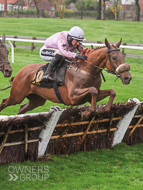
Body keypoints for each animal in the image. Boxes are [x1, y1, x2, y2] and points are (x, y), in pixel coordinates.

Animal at [0, 38, 132, 119]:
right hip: (17, 96)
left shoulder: (91, 96)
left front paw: (101, 110)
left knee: (22, 108)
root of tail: (20, 72)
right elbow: (93, 90)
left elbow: (111, 91)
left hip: (37, 100)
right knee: (4, 102)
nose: (128, 78)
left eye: (123, 56)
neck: (88, 70)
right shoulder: (72, 96)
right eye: (114, 58)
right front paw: (88, 112)